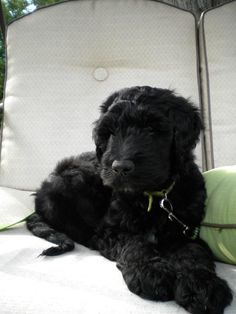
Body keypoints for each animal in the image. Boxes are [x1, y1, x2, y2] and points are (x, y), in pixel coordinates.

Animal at [27, 86, 232, 314]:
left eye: (151, 129)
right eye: (110, 133)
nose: (120, 167)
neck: (153, 196)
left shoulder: (185, 229)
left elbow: (193, 252)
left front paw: (203, 286)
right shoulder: (111, 230)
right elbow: (135, 243)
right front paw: (150, 273)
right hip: (71, 181)